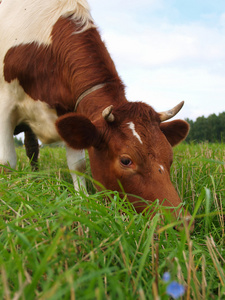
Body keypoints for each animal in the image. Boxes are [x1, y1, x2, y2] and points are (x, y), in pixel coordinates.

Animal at [0, 0, 191, 219]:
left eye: (170, 156)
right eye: (126, 160)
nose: (182, 220)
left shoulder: (69, 110)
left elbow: (78, 165)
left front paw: (81, 198)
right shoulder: (5, 106)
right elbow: (7, 162)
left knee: (32, 149)